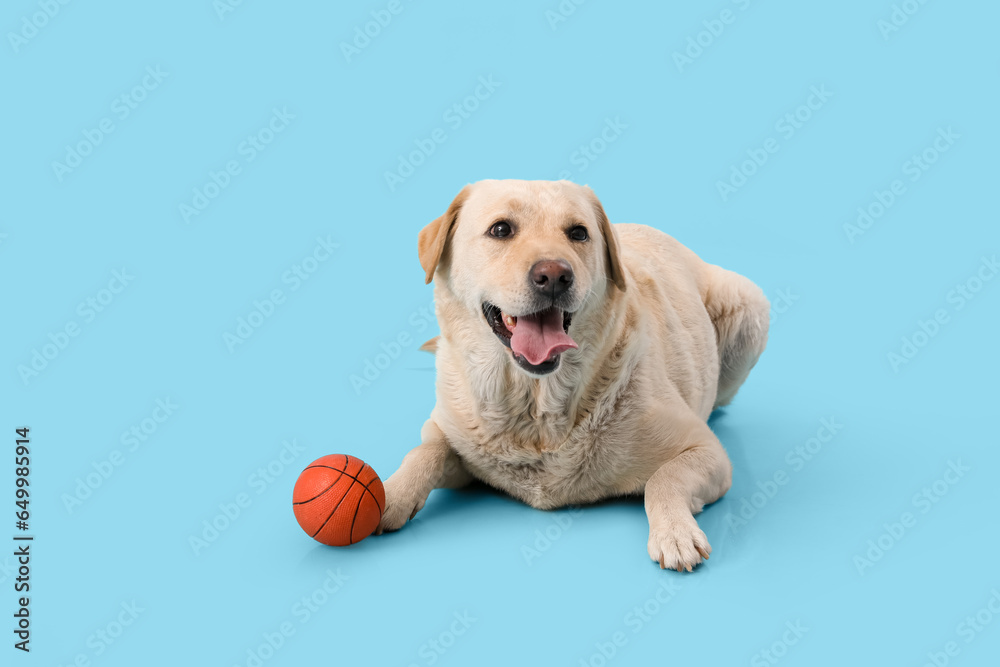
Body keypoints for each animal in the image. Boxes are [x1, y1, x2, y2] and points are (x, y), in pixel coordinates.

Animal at [378, 180, 768, 572]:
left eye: (578, 233)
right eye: (501, 229)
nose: (554, 275)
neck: (535, 404)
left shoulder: (707, 450)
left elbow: (664, 478)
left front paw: (675, 532)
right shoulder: (447, 431)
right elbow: (425, 450)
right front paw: (391, 495)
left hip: (749, 305)